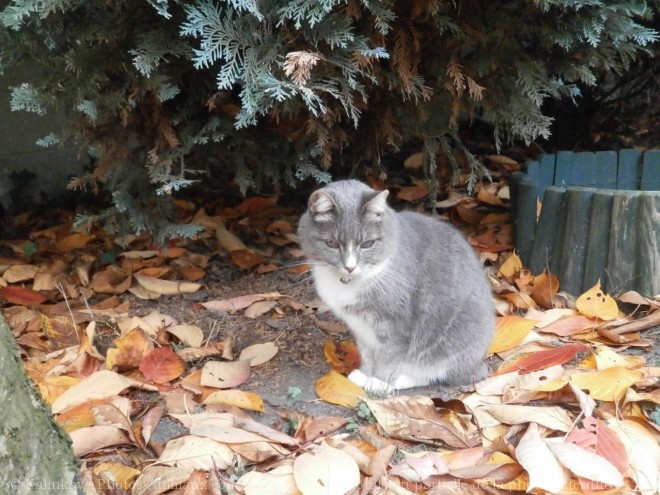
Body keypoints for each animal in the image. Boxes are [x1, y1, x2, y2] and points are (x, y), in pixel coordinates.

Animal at [300, 180, 496, 394]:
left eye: (367, 244)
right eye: (331, 243)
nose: (350, 267)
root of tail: (479, 363)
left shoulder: (396, 322)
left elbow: (390, 355)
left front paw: (379, 382)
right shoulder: (359, 326)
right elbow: (367, 352)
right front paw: (365, 374)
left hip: (452, 343)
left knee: (439, 372)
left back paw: (400, 380)